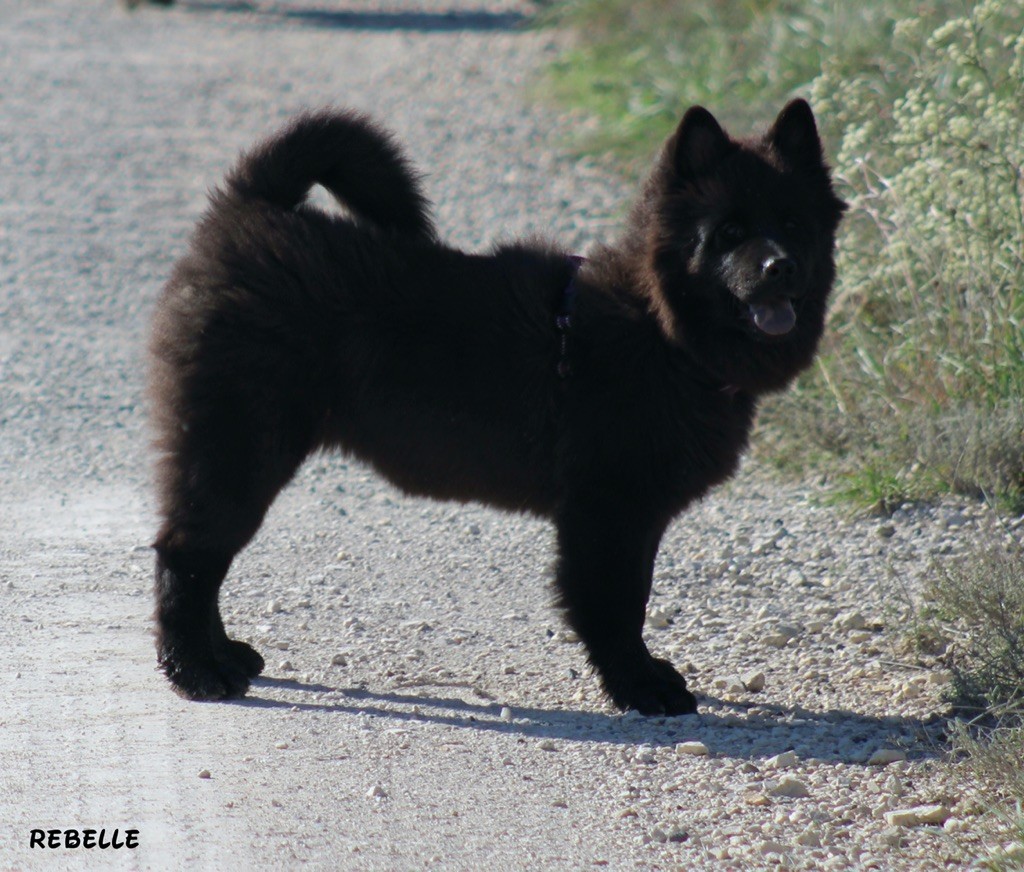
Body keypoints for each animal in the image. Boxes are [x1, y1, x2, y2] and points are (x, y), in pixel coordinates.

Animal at [148, 102, 843, 716]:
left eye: (793, 224)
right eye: (729, 233)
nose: (779, 266)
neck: (661, 332)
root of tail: (250, 206)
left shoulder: (635, 515)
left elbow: (632, 601)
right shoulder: (608, 513)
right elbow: (616, 609)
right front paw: (641, 688)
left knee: (200, 560)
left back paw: (225, 657)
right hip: (242, 446)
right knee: (186, 557)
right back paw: (197, 671)